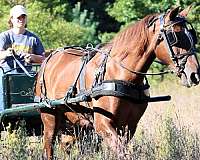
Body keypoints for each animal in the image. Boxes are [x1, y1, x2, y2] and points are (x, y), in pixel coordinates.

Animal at [35, 5, 199, 159]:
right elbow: (122, 153)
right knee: (48, 146)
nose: (194, 74)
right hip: (50, 118)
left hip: (74, 122)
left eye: (192, 36)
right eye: (174, 36)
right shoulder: (103, 124)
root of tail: (49, 57)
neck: (123, 75)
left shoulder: (129, 126)